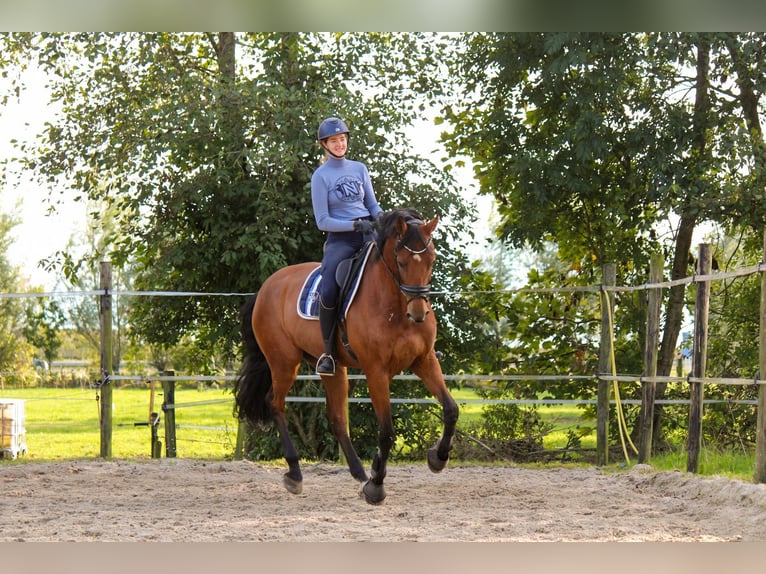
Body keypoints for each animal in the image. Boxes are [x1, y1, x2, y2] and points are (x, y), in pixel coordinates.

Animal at [233, 208, 459, 505]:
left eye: (432, 260)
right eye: (400, 262)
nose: (419, 314)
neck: (395, 306)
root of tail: (265, 288)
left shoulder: (424, 361)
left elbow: (451, 409)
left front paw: (437, 458)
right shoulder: (376, 370)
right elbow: (386, 431)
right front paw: (377, 486)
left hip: (332, 368)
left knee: (336, 418)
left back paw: (359, 473)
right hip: (284, 363)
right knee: (275, 403)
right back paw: (295, 474)